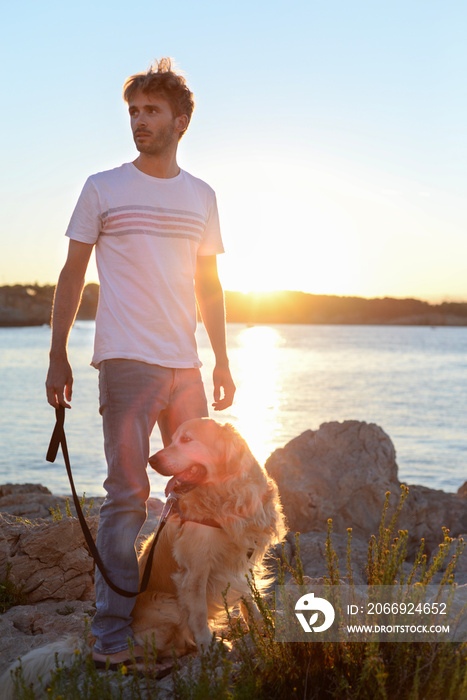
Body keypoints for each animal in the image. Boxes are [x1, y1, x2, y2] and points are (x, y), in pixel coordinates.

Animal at [1, 418, 288, 696]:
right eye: (173, 439)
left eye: (187, 439)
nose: (153, 460)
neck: (223, 495)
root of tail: (92, 640)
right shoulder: (194, 571)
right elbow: (198, 615)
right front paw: (209, 648)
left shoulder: (242, 560)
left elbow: (250, 600)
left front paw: (264, 628)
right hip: (169, 605)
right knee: (164, 644)